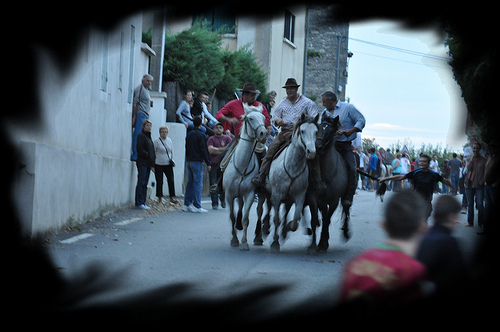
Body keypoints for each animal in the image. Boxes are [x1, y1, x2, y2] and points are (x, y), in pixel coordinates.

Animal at [224, 103, 268, 249]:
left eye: (263, 118)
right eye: (250, 119)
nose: (263, 134)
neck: (241, 165)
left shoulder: (249, 193)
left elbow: (246, 219)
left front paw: (244, 242)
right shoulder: (229, 194)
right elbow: (232, 216)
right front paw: (234, 240)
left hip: (261, 194)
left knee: (259, 211)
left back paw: (258, 237)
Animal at [268, 113, 318, 253]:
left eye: (316, 132)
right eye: (302, 131)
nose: (311, 152)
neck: (292, 166)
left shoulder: (300, 196)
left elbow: (295, 220)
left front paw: (287, 228)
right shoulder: (276, 195)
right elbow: (276, 219)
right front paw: (275, 243)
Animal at [306, 114, 350, 252]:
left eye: (331, 132)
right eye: (318, 129)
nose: (317, 147)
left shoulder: (334, 200)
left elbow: (327, 220)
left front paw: (323, 244)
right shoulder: (313, 197)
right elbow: (315, 219)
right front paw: (313, 246)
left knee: (346, 208)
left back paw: (345, 232)